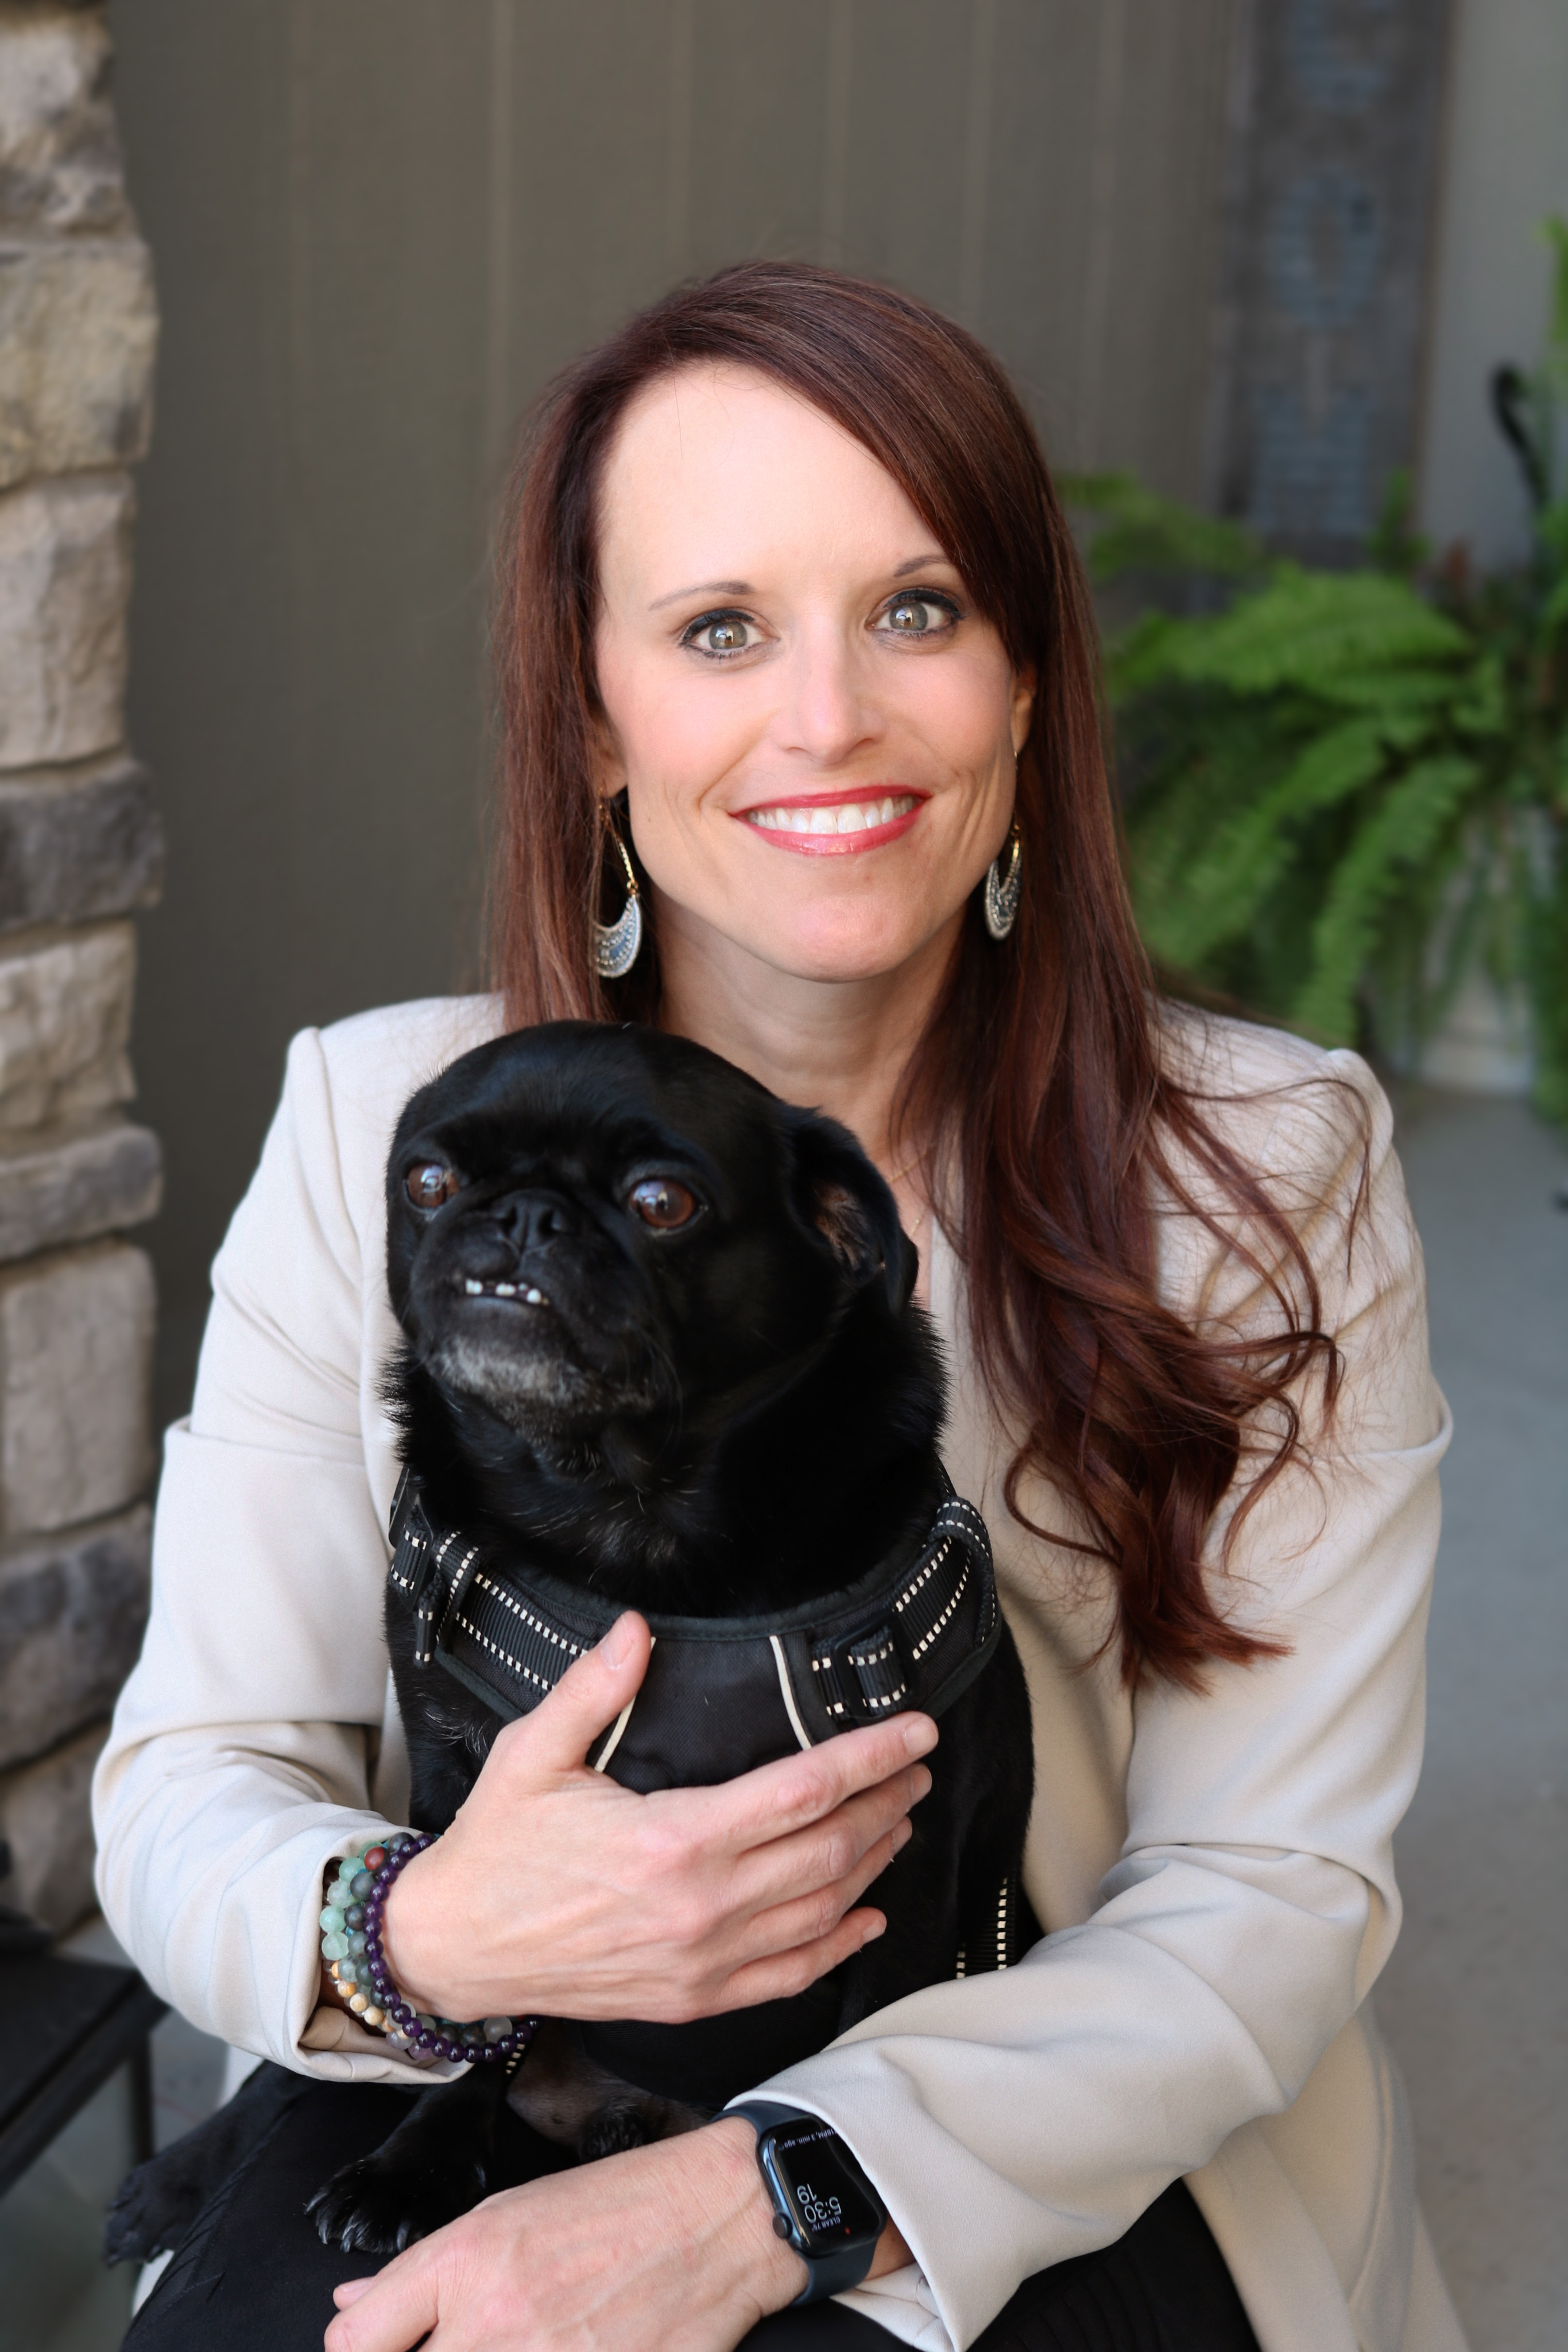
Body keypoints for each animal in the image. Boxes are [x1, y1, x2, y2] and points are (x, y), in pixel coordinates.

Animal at [107, 1022, 1035, 2266]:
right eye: (427, 1181)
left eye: (661, 1201)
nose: (523, 1214)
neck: (622, 1509)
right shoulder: (465, 1823)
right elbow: (475, 2017)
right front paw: (417, 2162)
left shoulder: (913, 1882)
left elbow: (867, 2030)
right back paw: (181, 2172)